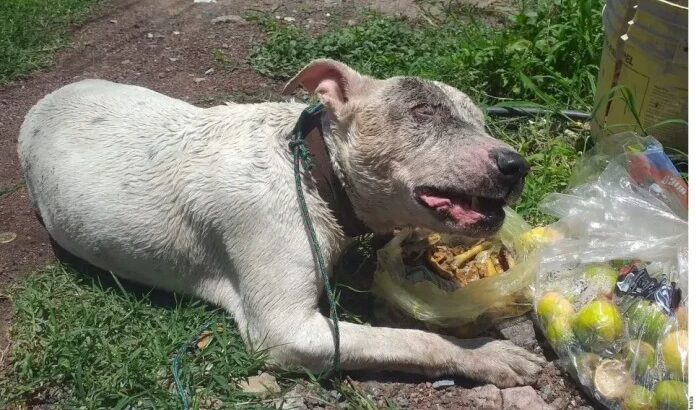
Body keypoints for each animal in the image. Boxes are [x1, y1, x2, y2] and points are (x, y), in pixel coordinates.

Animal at [17, 58, 544, 388]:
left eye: (480, 120)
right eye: (421, 111)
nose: (516, 166)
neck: (310, 168)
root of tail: (42, 103)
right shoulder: (286, 330)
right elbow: (411, 339)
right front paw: (484, 353)